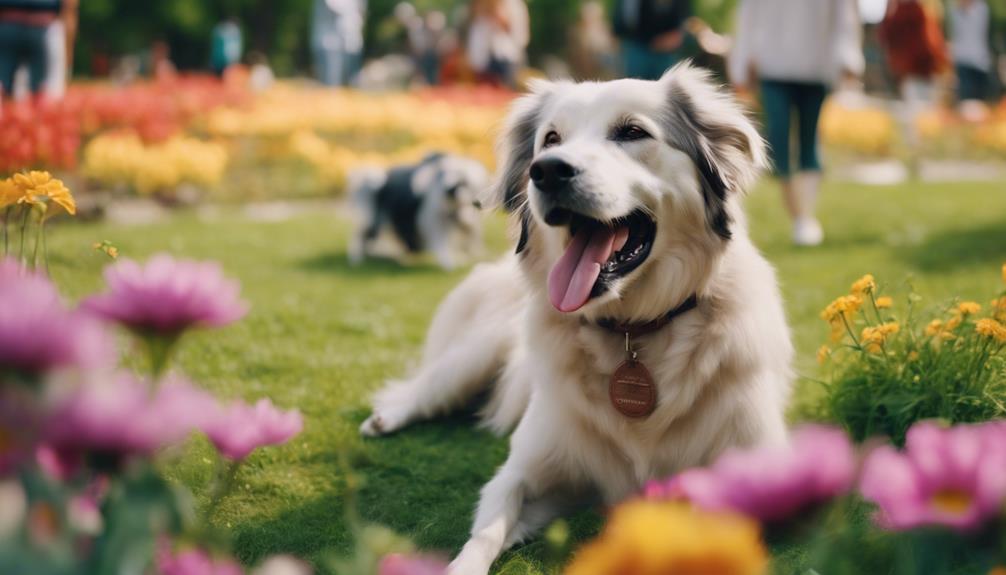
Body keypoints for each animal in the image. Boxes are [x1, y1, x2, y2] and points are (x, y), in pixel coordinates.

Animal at [348, 151, 488, 271]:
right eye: (456, 185)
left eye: (464, 183)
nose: (449, 191)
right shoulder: (434, 219)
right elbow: (442, 241)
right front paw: (448, 263)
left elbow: (467, 237)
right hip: (371, 215)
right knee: (361, 236)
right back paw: (358, 258)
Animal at [362, 62, 792, 575]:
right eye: (550, 139)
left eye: (631, 132)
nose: (547, 170)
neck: (632, 331)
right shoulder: (525, 469)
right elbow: (487, 527)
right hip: (472, 359)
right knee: (425, 389)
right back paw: (386, 418)